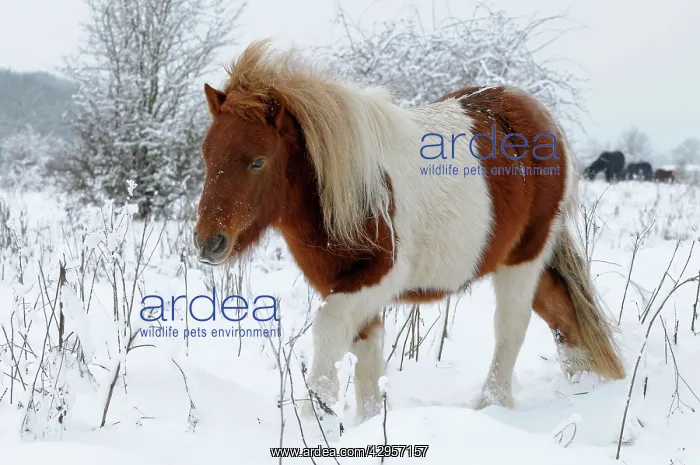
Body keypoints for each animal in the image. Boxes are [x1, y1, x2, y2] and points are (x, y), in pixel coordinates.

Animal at [193, 40, 626, 422]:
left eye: (258, 161)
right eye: (207, 153)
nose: (208, 242)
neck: (350, 189)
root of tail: (538, 116)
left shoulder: (378, 277)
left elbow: (329, 329)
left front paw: (317, 418)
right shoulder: (346, 285)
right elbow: (367, 362)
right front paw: (364, 427)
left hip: (523, 259)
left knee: (511, 328)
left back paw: (492, 405)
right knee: (562, 317)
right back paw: (581, 385)